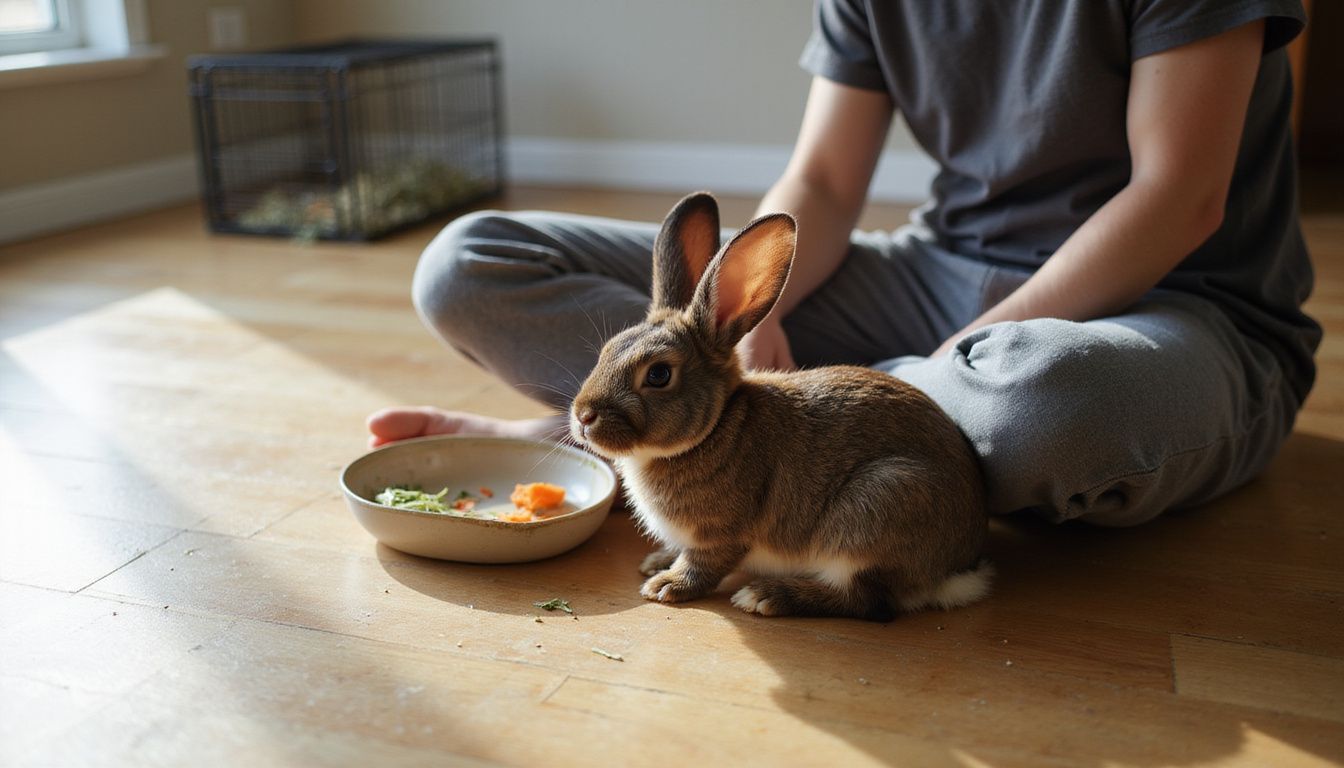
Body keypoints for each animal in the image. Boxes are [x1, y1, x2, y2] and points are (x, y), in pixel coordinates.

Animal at [568, 191, 991, 622]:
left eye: (658, 375)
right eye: (606, 351)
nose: (583, 416)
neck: (716, 427)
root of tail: (956, 570)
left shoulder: (720, 536)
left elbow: (702, 566)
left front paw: (666, 585)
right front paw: (656, 562)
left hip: (873, 510)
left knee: (869, 601)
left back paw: (766, 596)